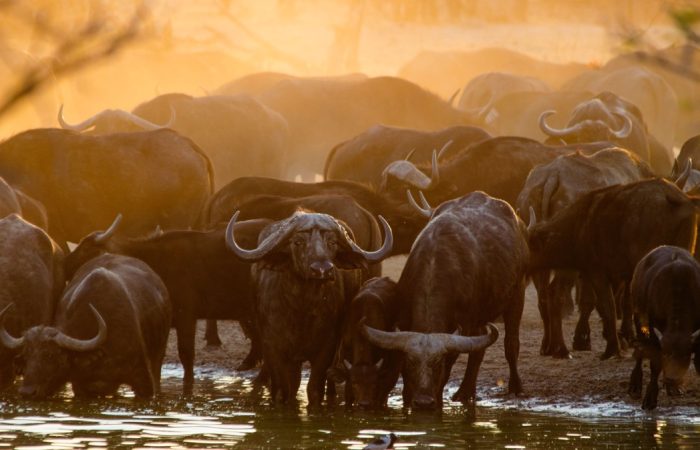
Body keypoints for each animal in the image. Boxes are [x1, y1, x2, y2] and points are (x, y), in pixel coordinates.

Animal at [2, 255, 172, 400]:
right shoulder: (81, 386)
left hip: (158, 357)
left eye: (50, 355)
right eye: (26, 356)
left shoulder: (142, 380)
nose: (27, 392)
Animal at [228, 209, 394, 406]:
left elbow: (314, 388)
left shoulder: (328, 346)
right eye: (298, 242)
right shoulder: (273, 346)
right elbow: (283, 389)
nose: (322, 269)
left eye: (332, 242)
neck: (301, 309)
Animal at [364, 192, 528, 410]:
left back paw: (516, 387)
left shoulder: (465, 325)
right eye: (411, 363)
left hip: (517, 294)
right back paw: (465, 392)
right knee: (479, 349)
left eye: (438, 363)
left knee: (511, 344)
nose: (424, 402)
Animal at [628, 244, 700, 410]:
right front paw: (650, 398)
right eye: (666, 353)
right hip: (637, 315)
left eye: (685, 355)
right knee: (639, 349)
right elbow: (655, 363)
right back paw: (635, 386)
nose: (671, 379)